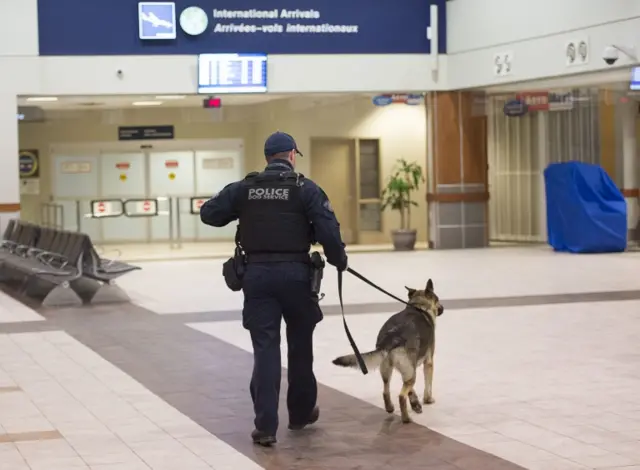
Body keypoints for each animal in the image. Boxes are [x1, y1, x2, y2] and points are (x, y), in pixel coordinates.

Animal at [332, 280, 442, 422]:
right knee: (401, 396)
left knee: (386, 391)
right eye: (437, 300)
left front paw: (415, 403)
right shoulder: (428, 363)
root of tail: (392, 337)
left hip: (389, 370)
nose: (442, 308)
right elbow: (428, 384)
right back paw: (406, 419)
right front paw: (427, 400)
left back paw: (390, 408)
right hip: (409, 373)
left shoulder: (408, 369)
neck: (419, 306)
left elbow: (411, 390)